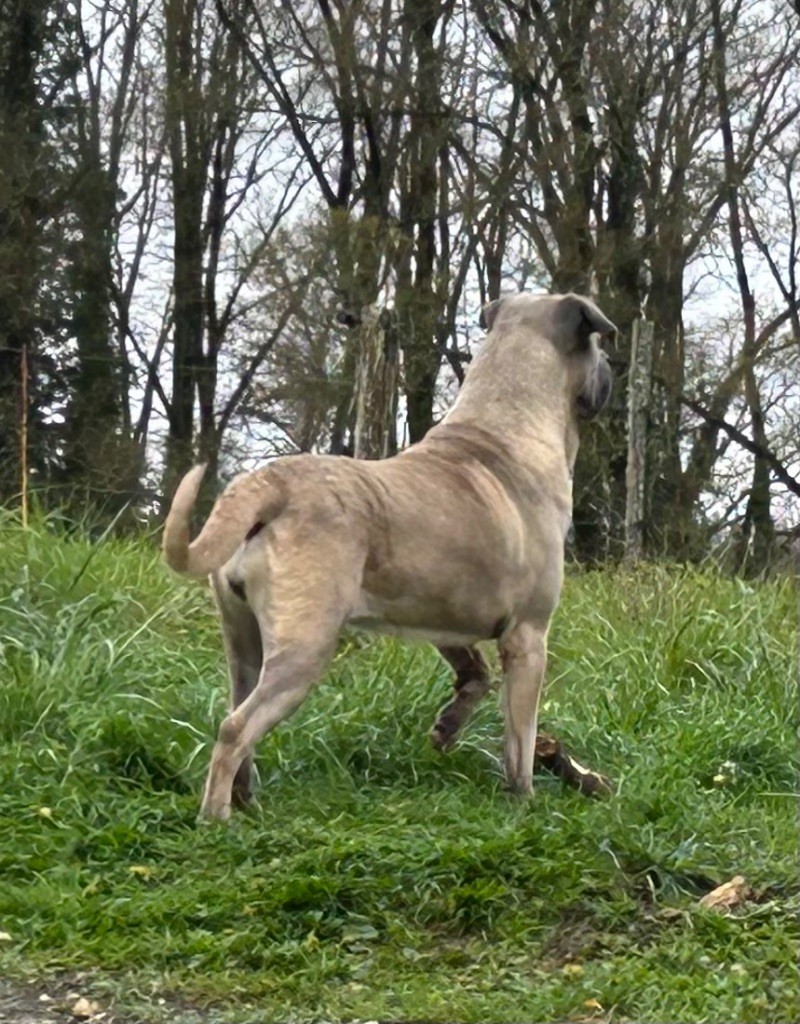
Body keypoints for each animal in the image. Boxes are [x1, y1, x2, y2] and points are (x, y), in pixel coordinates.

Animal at [160, 292, 610, 819]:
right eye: (598, 343)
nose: (611, 370)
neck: (507, 423)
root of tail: (267, 483)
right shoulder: (528, 637)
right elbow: (520, 737)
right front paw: (524, 800)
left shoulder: (442, 614)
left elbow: (474, 675)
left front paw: (447, 727)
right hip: (304, 649)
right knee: (235, 729)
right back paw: (217, 819)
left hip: (243, 640)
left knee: (237, 713)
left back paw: (247, 802)